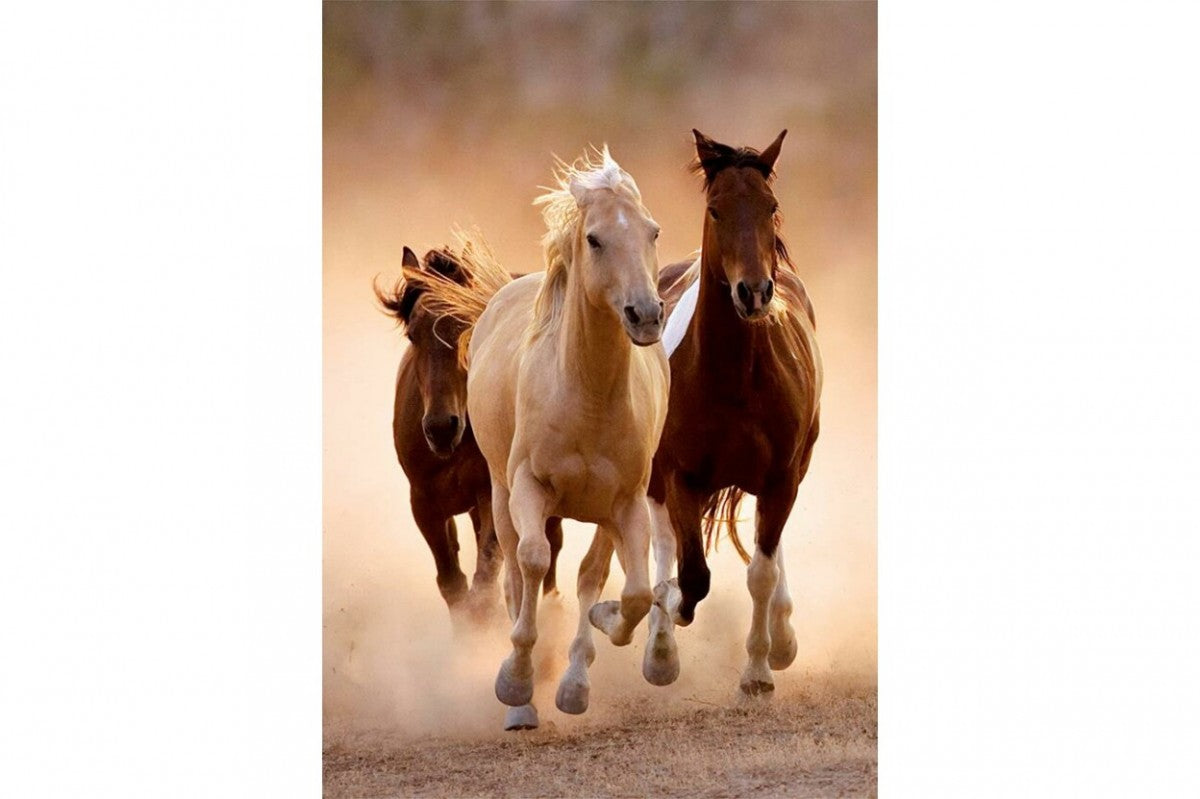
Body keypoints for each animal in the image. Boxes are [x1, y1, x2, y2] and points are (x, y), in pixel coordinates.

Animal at [374, 241, 563, 622]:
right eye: (412, 334)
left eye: (469, 327)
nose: (440, 428)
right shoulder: (425, 504)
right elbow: (453, 584)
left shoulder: (490, 494)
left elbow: (485, 580)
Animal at [406, 148, 669, 730]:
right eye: (594, 239)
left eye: (653, 231)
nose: (645, 315)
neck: (585, 395)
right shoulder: (527, 488)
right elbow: (529, 564)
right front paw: (516, 682)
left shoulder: (627, 503)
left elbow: (632, 593)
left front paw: (592, 655)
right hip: (499, 495)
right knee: (513, 574)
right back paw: (522, 701)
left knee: (593, 574)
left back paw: (573, 679)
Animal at [646, 129, 823, 696]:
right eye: (716, 209)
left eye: (771, 207)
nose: (754, 292)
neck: (734, 378)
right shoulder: (680, 476)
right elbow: (691, 575)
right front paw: (667, 616)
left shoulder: (781, 477)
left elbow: (761, 572)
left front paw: (760, 670)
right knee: (662, 543)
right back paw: (658, 648)